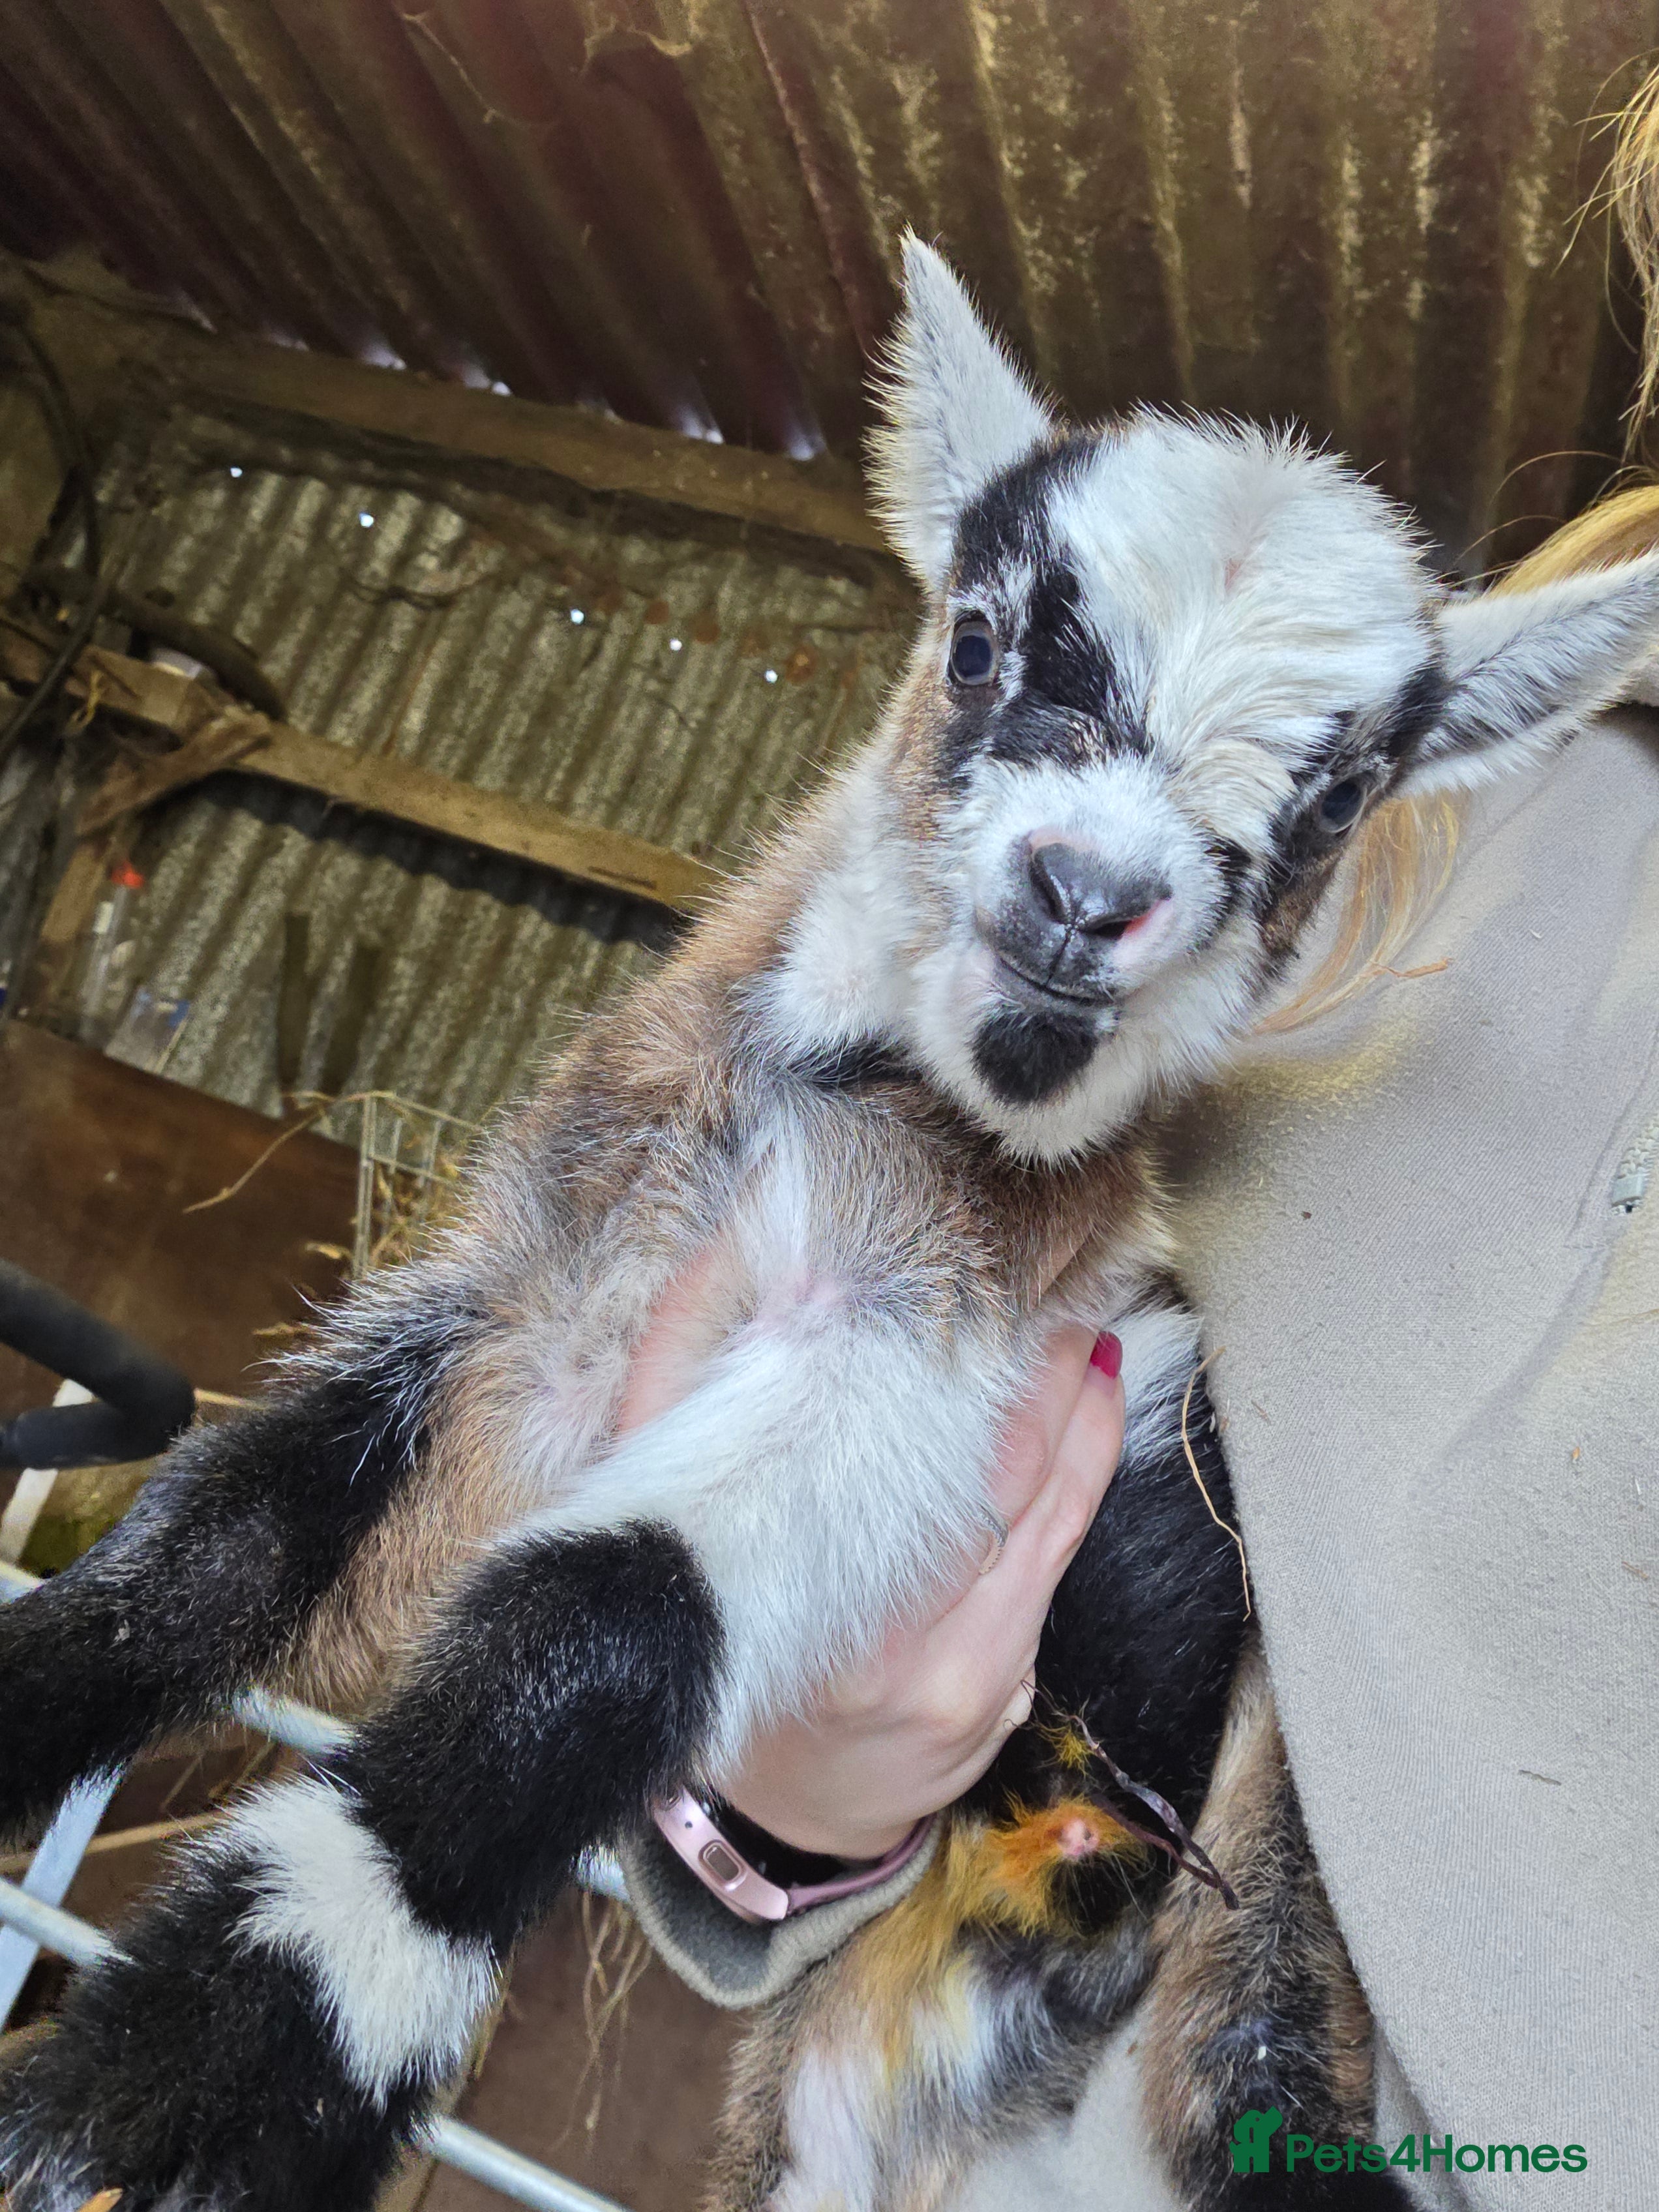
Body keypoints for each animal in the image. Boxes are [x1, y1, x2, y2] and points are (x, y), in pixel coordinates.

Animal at [1, 241, 1654, 2212]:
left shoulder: (936, 1355)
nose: (1085, 897)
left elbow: (610, 1598)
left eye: (1340, 798)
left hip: (1249, 1917)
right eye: (980, 636)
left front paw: (227, 2041)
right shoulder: (549, 1279)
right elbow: (230, 1525)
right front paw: (29, 1696)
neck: (838, 1097)